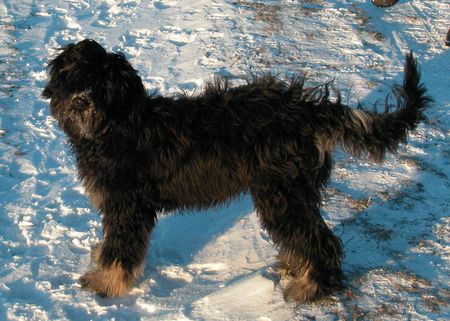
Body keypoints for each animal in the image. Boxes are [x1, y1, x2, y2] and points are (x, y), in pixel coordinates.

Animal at [43, 38, 432, 302]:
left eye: (105, 85)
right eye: (76, 75)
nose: (82, 101)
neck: (120, 123)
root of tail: (309, 111)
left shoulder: (129, 206)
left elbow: (120, 250)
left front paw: (105, 284)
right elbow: (112, 244)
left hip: (281, 193)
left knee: (320, 240)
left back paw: (311, 288)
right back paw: (297, 268)